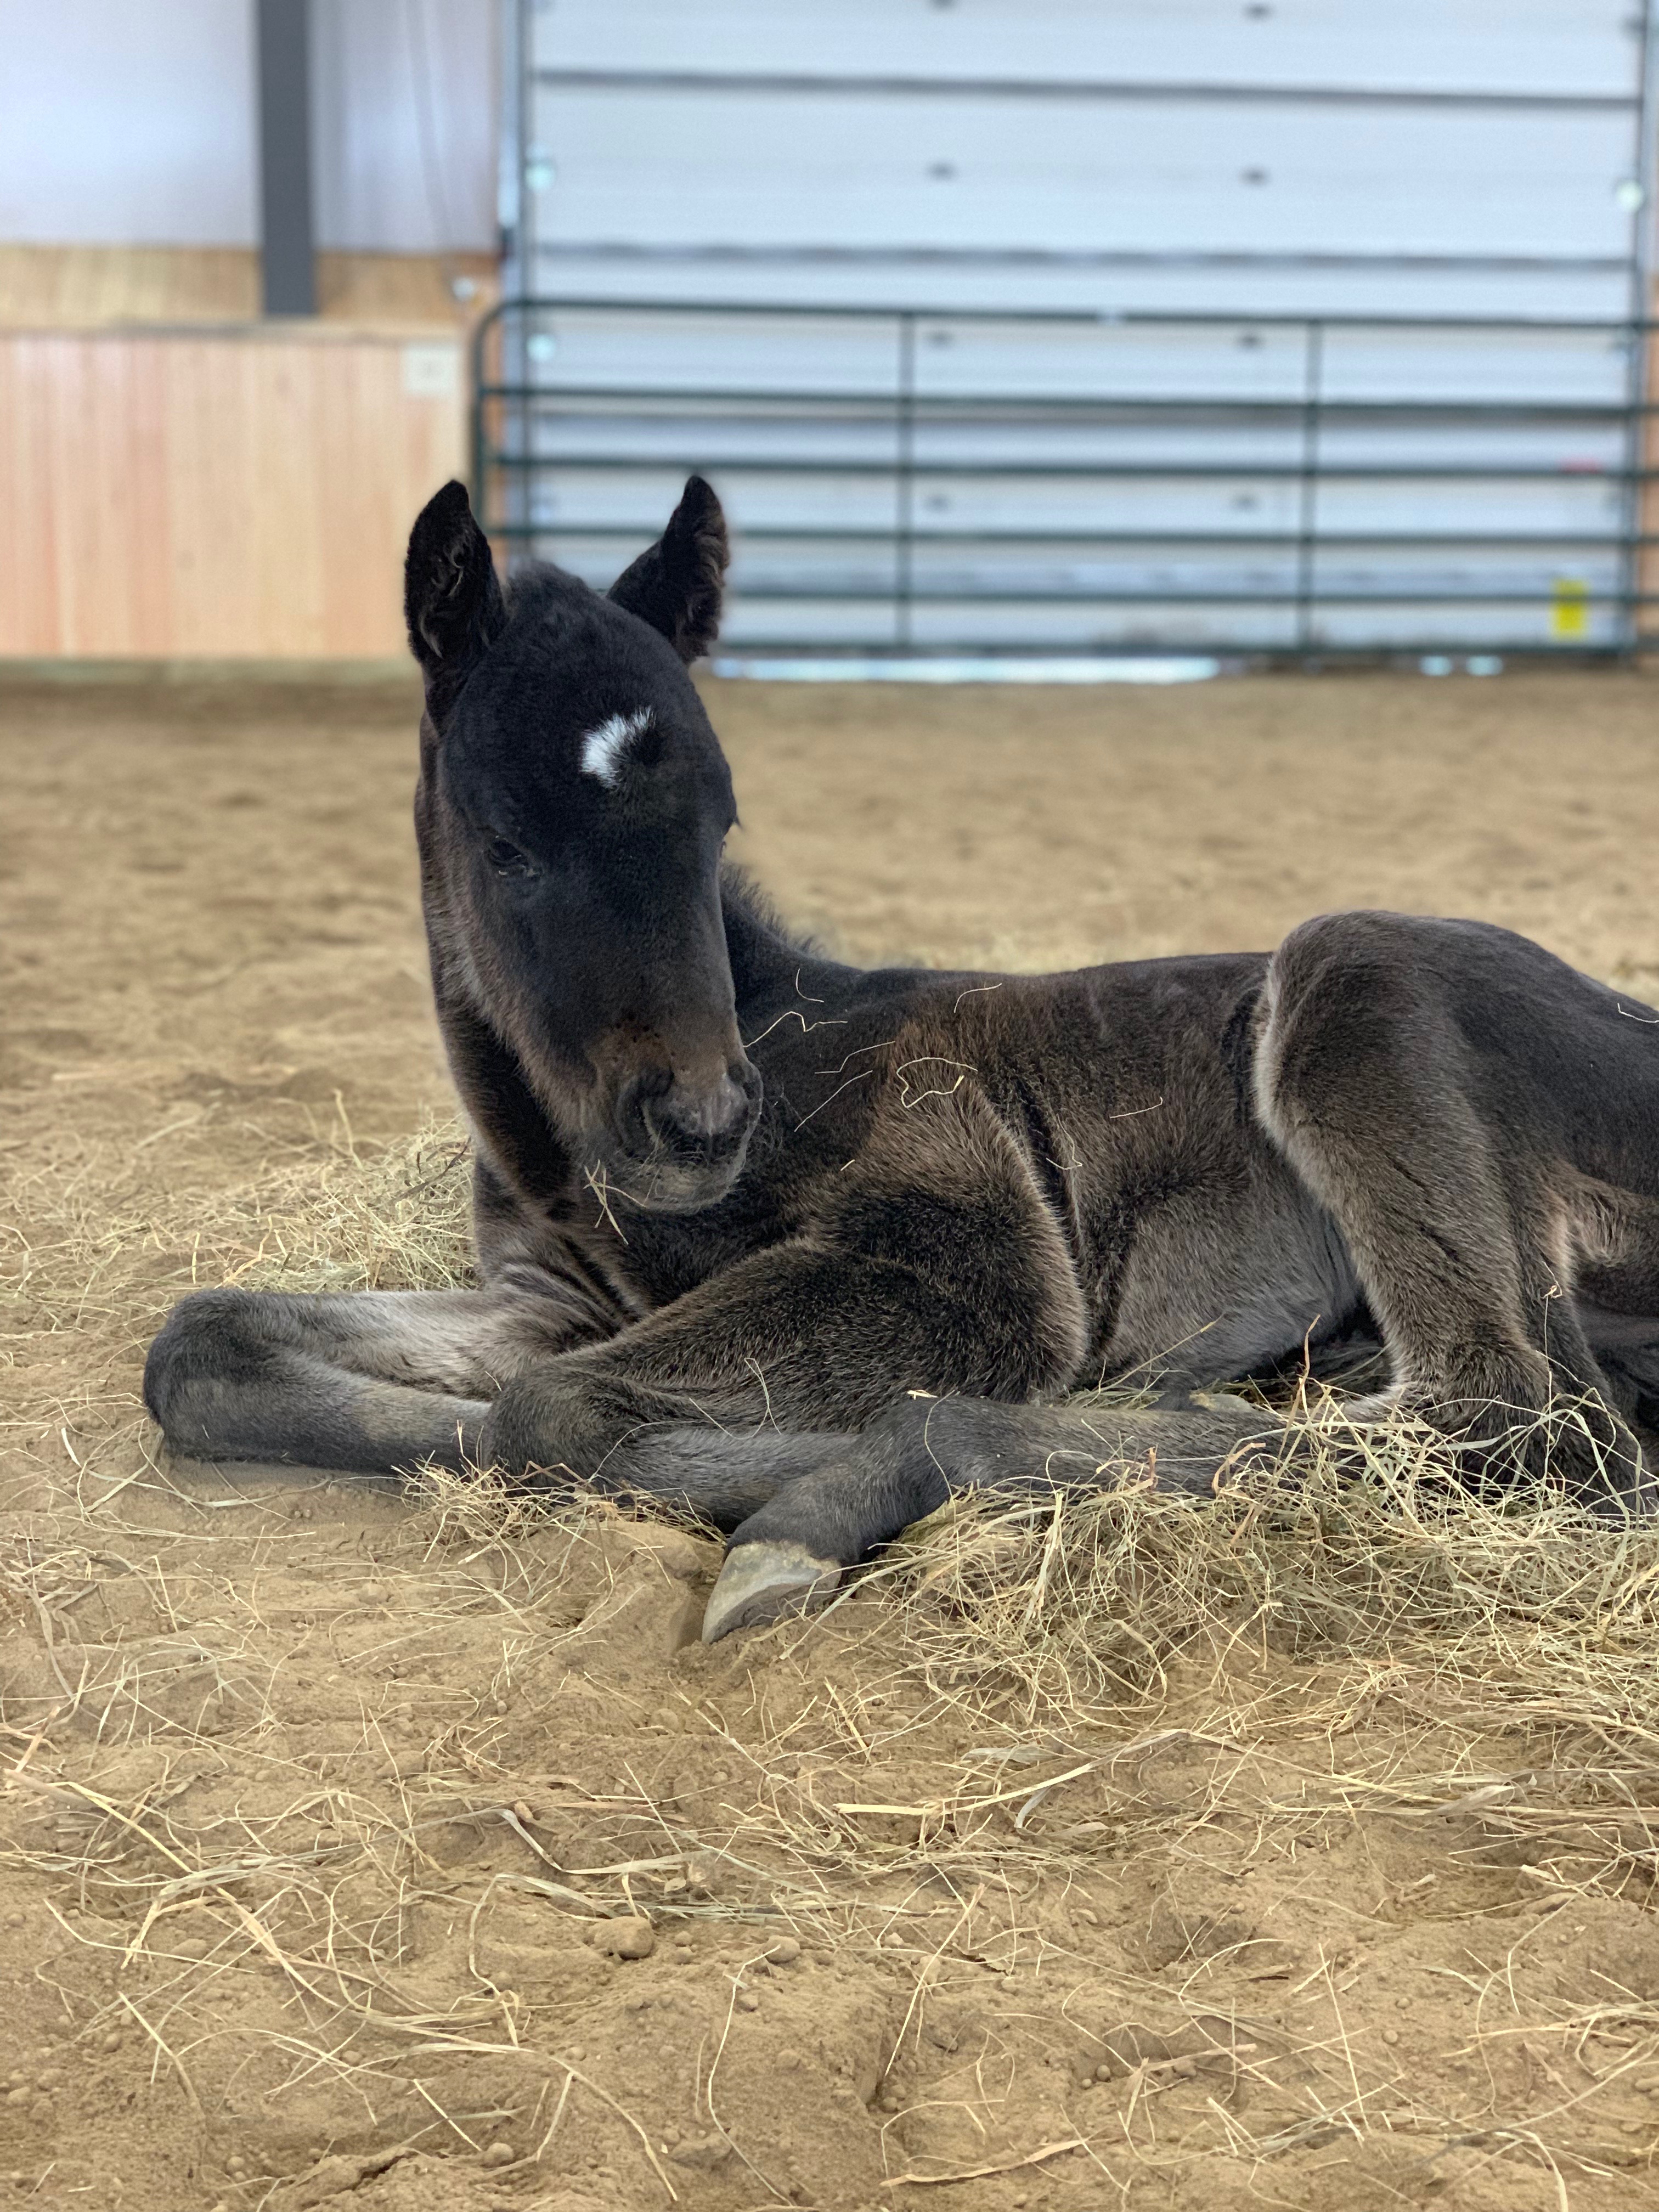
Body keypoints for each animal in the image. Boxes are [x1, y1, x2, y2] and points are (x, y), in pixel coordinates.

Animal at [145, 475, 1659, 1641]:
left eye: (719, 821)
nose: (701, 1122)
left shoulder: (961, 1258)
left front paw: (778, 1464)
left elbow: (556, 1410)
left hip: (1354, 983)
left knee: (1506, 1417)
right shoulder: (550, 1296)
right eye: (507, 844)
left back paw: (834, 1503)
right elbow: (204, 1344)